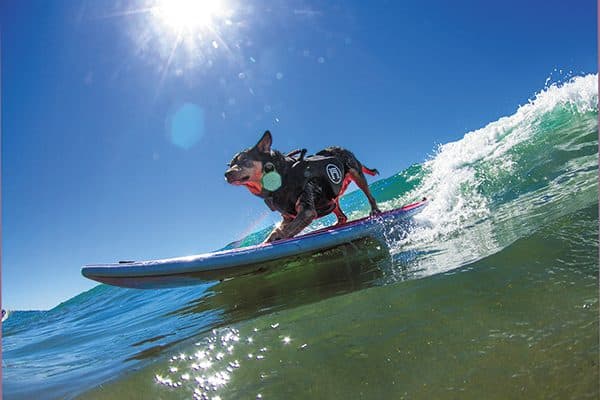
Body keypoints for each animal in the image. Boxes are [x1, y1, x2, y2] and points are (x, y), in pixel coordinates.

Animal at [225, 132, 380, 244]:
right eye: (230, 164)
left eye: (244, 160)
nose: (226, 174)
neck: (283, 177)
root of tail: (340, 147)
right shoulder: (287, 217)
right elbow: (276, 231)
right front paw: (267, 240)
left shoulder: (306, 211)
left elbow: (285, 231)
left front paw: (274, 239)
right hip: (332, 198)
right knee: (341, 214)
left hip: (356, 173)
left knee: (369, 195)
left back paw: (374, 210)